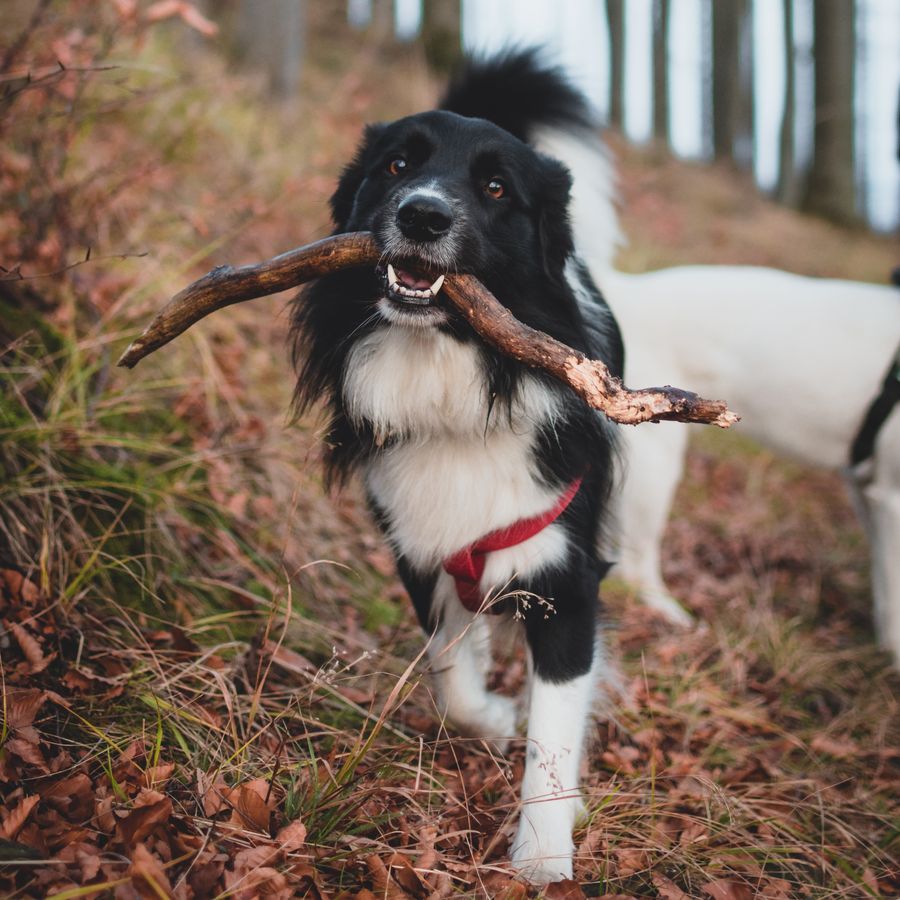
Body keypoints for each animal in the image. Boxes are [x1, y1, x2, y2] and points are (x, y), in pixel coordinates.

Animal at [292, 52, 624, 884]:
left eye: (497, 188)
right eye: (397, 165)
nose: (422, 217)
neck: (451, 372)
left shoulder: (567, 581)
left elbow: (554, 732)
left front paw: (543, 855)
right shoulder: (419, 545)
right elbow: (450, 674)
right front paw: (492, 715)